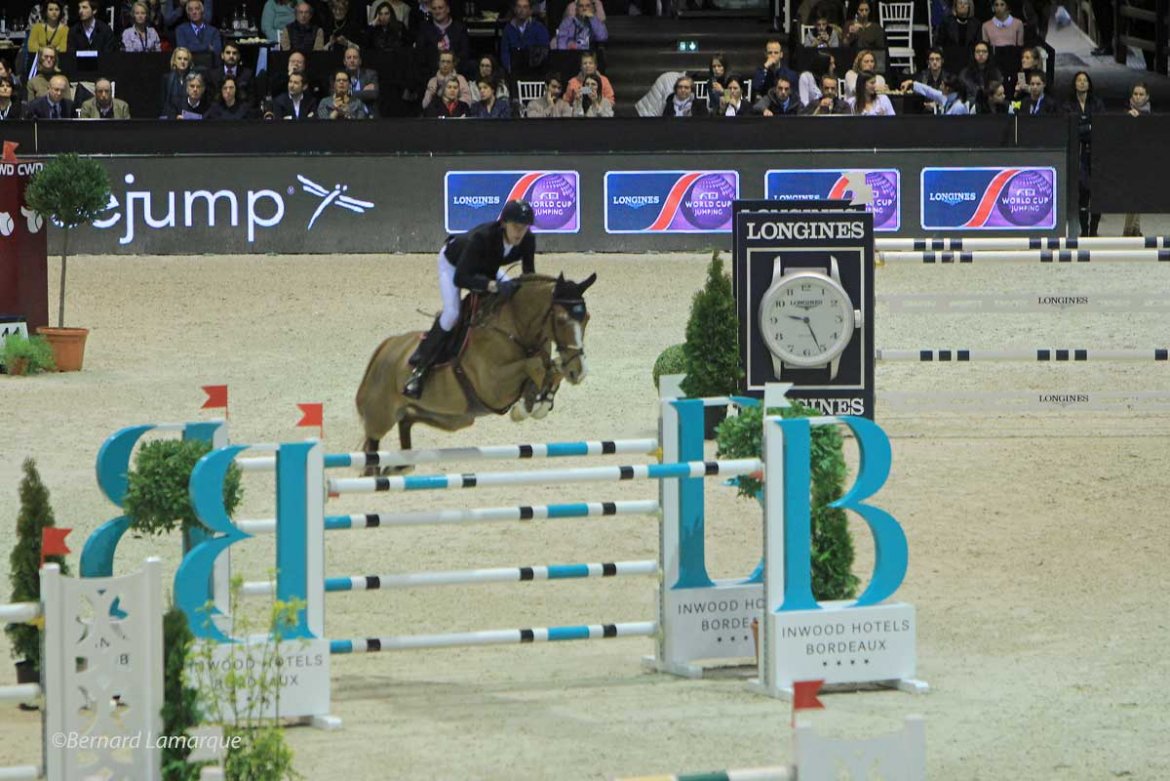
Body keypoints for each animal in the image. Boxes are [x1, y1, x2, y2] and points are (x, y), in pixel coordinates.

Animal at [355, 273, 596, 466]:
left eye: (586, 318)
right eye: (561, 320)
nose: (579, 371)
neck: (515, 331)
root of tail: (386, 348)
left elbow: (551, 368)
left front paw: (543, 399)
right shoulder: (493, 385)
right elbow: (534, 366)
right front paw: (527, 406)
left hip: (455, 418)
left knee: (407, 420)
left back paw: (398, 467)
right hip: (382, 416)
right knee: (372, 442)